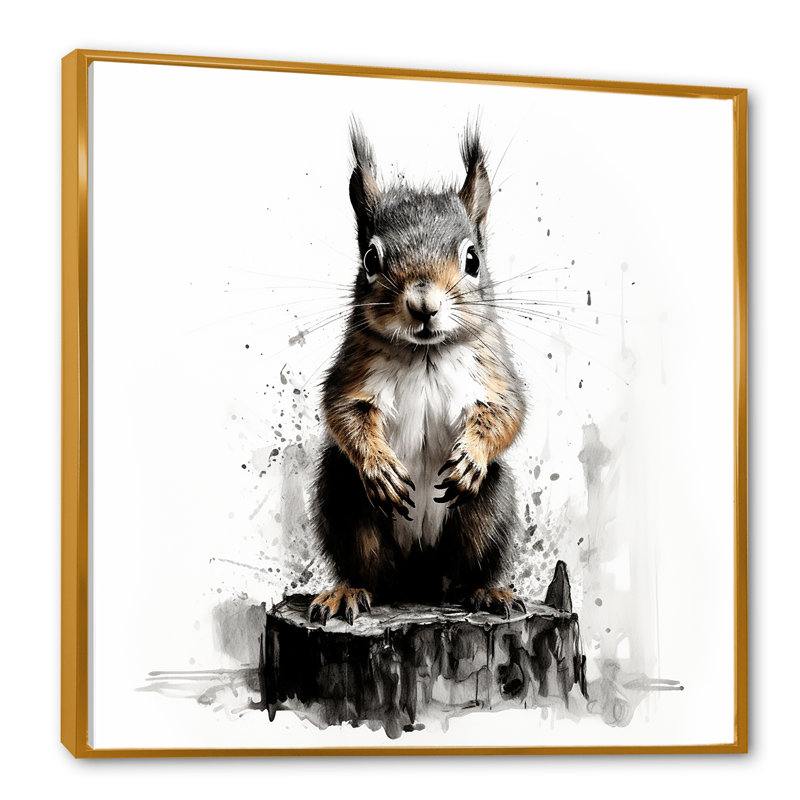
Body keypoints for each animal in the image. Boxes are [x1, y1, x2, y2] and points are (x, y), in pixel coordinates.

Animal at [309, 121, 527, 625]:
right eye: (371, 259)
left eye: (473, 259)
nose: (423, 304)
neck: (424, 352)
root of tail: (419, 578)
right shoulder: (353, 369)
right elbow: (343, 410)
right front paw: (380, 466)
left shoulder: (494, 368)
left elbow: (507, 412)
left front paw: (471, 457)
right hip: (342, 497)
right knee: (366, 569)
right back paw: (347, 591)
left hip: (491, 507)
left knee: (468, 568)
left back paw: (488, 591)